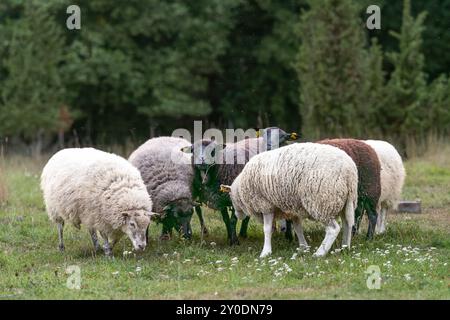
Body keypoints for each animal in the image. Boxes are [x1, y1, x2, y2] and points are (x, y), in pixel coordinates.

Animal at [222, 142, 358, 258]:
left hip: (321, 202)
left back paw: (320, 253)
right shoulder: (293, 208)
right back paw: (344, 248)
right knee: (347, 224)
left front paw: (265, 252)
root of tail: (349, 172)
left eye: (231, 199)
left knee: (333, 229)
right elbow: (297, 228)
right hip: (347, 201)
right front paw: (303, 247)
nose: (237, 215)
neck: (241, 188)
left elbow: (267, 229)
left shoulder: (265, 205)